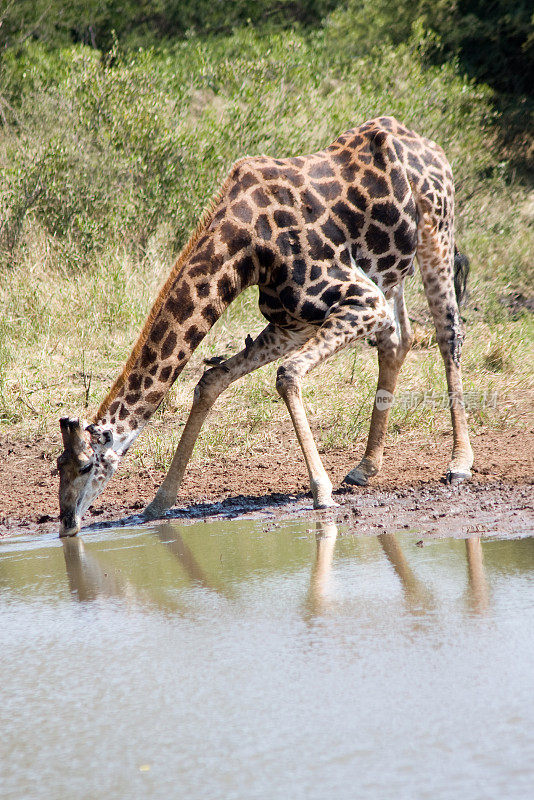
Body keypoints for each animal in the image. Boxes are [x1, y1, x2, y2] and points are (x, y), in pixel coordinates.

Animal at [58, 114, 476, 536]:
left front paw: (321, 492)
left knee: (448, 334)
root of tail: (424, 142)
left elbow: (287, 374)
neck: (246, 248)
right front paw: (158, 503)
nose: (66, 524)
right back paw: (365, 468)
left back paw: (459, 463)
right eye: (58, 466)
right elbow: (212, 380)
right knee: (399, 341)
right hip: (391, 271)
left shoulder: (363, 300)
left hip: (436, 234)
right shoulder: (292, 323)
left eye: (86, 465)